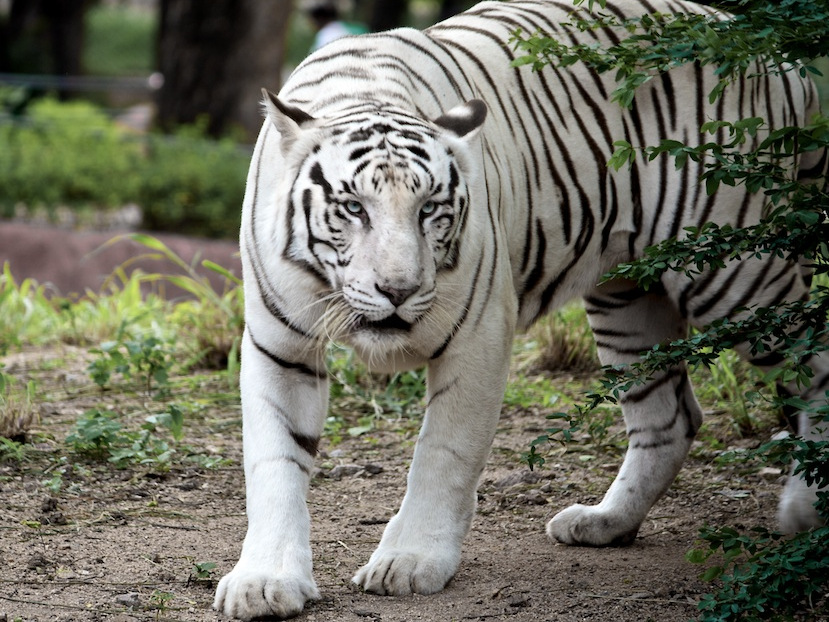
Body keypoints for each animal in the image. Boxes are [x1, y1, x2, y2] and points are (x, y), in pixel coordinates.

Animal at [215, 0, 828, 620]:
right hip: (628, 297)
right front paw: (265, 581)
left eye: (430, 208)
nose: (398, 289)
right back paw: (605, 522)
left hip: (734, 270)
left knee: (814, 358)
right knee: (669, 416)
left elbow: (443, 452)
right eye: (353, 208)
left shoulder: (478, 334)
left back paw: (806, 511)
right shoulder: (279, 346)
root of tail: (770, 50)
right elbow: (274, 463)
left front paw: (410, 562)